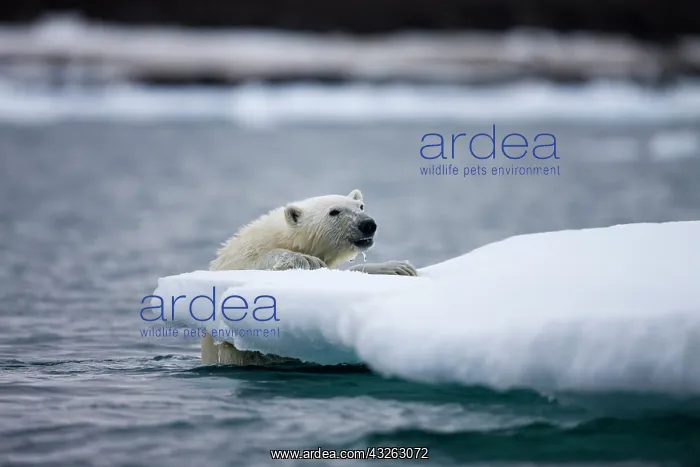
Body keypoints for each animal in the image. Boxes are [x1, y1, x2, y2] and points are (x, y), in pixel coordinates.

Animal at [201, 188, 417, 366]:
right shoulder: (238, 260)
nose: (368, 224)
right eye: (334, 211)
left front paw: (398, 267)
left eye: (361, 206)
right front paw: (306, 259)